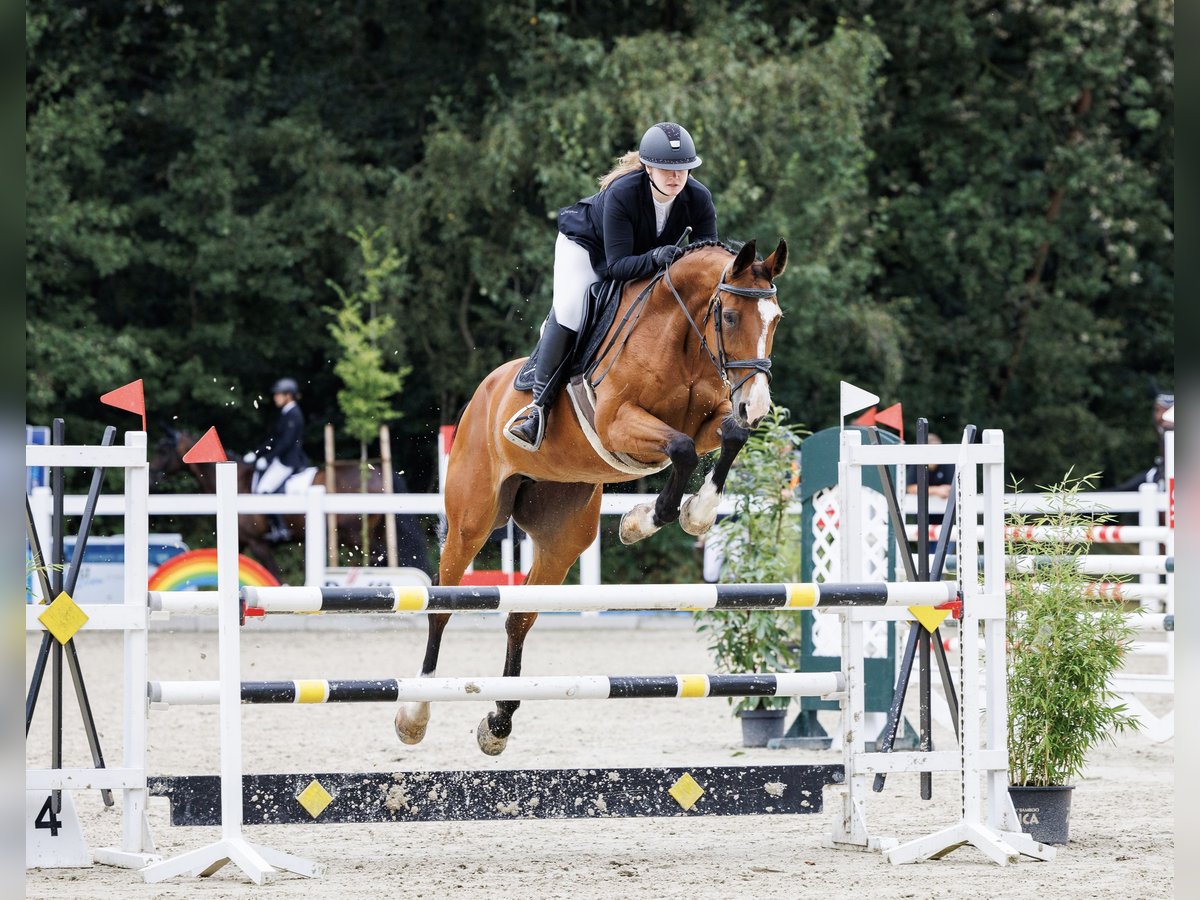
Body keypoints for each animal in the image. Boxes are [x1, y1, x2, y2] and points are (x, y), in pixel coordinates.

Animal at [148, 432, 432, 585]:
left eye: (163, 449)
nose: (151, 477)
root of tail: (378, 473)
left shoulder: (259, 543)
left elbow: (277, 576)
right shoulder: (241, 541)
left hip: (354, 534)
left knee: (376, 558)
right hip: (376, 529)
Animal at [393, 237, 787, 753]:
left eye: (776, 319)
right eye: (731, 318)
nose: (757, 405)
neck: (681, 337)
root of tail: (484, 393)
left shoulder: (713, 414)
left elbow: (729, 435)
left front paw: (691, 514)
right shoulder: (618, 422)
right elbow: (681, 449)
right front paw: (645, 521)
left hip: (563, 537)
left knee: (520, 617)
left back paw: (498, 723)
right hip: (470, 522)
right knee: (441, 607)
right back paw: (414, 714)